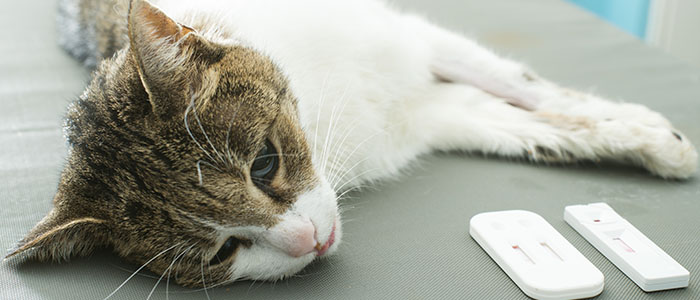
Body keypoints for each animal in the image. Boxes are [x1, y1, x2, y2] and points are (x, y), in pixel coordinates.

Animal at [4, 0, 696, 288]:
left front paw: (651, 135)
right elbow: (521, 125)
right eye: (223, 252)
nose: (308, 241)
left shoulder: (408, 38)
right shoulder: (432, 116)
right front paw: (626, 136)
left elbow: (523, 86)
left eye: (264, 163)